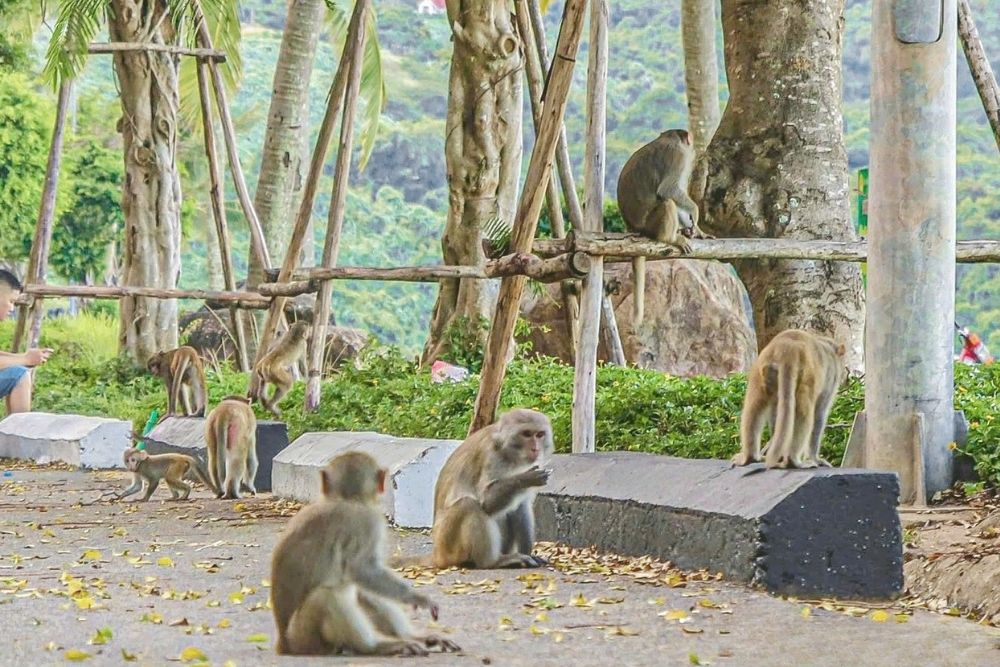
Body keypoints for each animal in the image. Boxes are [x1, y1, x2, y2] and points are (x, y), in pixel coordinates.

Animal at [271, 452, 459, 657]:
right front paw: (416, 597)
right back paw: (374, 647)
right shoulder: (369, 522)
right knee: (327, 595)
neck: (347, 499)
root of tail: (283, 644)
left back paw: (411, 637)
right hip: (304, 637)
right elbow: (362, 569)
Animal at [416, 408, 554, 570]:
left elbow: (521, 505)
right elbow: (486, 503)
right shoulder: (492, 457)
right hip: (448, 544)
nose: (535, 448)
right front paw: (526, 478)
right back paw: (492, 562)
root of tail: (437, 554)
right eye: (526, 434)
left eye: (540, 434)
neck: (508, 452)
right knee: (469, 504)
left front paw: (530, 554)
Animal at [616, 129, 711, 327]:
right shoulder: (678, 155)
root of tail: (631, 227)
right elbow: (668, 190)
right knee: (667, 203)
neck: (668, 138)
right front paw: (695, 214)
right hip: (649, 223)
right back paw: (671, 238)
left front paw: (696, 230)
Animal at [733, 329, 847, 470]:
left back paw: (751, 457)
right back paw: (793, 461)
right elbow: (819, 413)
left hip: (761, 372)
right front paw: (815, 458)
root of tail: (785, 348)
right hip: (806, 376)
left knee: (754, 408)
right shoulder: (830, 380)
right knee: (804, 413)